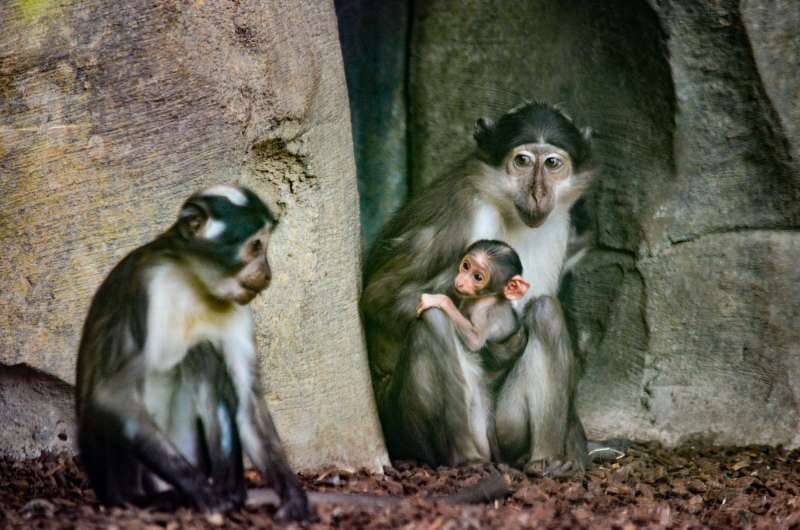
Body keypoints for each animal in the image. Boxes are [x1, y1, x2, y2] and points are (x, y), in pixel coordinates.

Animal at [75, 184, 310, 516]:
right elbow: (112, 393)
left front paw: (293, 499)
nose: (267, 274)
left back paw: (231, 493)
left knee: (203, 353)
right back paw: (149, 500)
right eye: (256, 246)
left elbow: (248, 404)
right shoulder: (149, 287)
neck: (193, 280)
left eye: (265, 245)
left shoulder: (236, 308)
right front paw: (203, 494)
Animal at [362, 101, 592, 472]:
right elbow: (379, 296)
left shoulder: (559, 222)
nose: (538, 193)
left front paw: (575, 444)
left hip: (507, 427)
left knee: (547, 310)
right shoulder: (460, 214)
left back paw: (546, 459)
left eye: (552, 163)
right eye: (522, 160)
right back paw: (466, 456)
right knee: (432, 320)